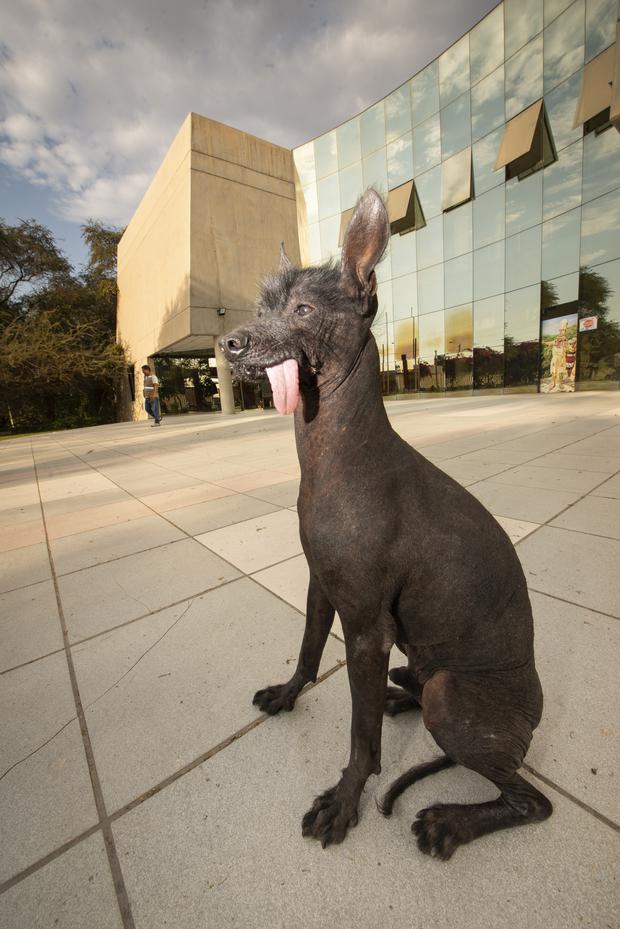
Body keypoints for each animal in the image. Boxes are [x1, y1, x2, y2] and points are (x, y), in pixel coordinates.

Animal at [219, 190, 552, 864]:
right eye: (263, 306)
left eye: (302, 309)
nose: (228, 344)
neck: (337, 451)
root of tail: (531, 722)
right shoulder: (322, 587)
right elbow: (308, 650)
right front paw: (289, 693)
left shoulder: (368, 630)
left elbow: (360, 736)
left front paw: (345, 799)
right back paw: (401, 698)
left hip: (452, 694)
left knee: (529, 799)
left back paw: (450, 821)